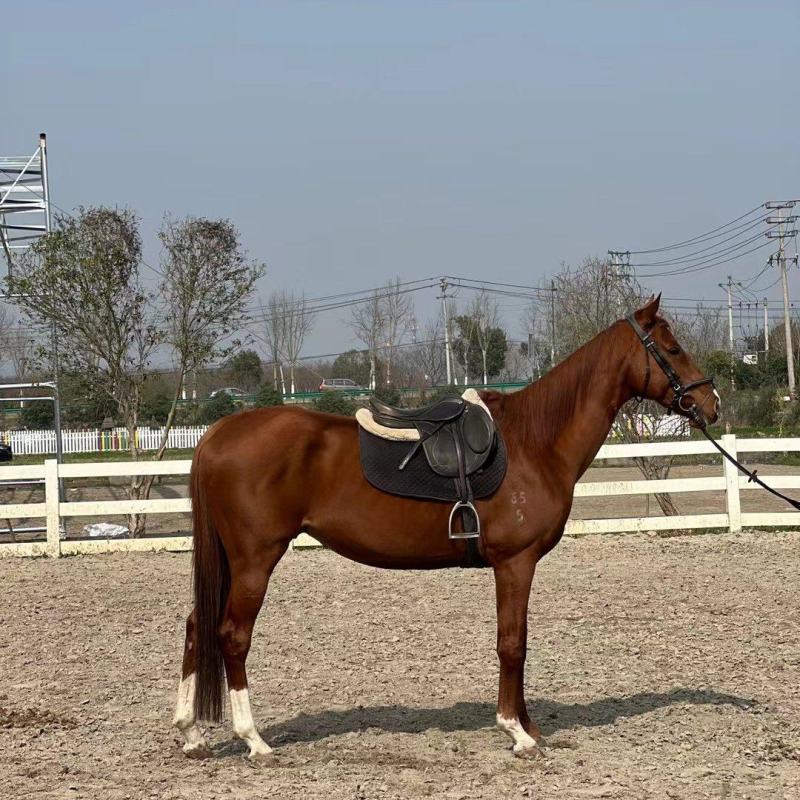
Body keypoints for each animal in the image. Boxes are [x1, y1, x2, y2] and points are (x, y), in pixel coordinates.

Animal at [172, 294, 720, 760]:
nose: (710, 403)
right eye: (673, 348)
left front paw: (529, 725)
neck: (535, 441)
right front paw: (517, 732)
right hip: (255, 559)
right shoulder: (515, 563)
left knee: (197, 625)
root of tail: (218, 433)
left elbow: (519, 641)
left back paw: (191, 733)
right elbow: (512, 642)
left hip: (232, 560)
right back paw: (254, 740)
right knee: (232, 634)